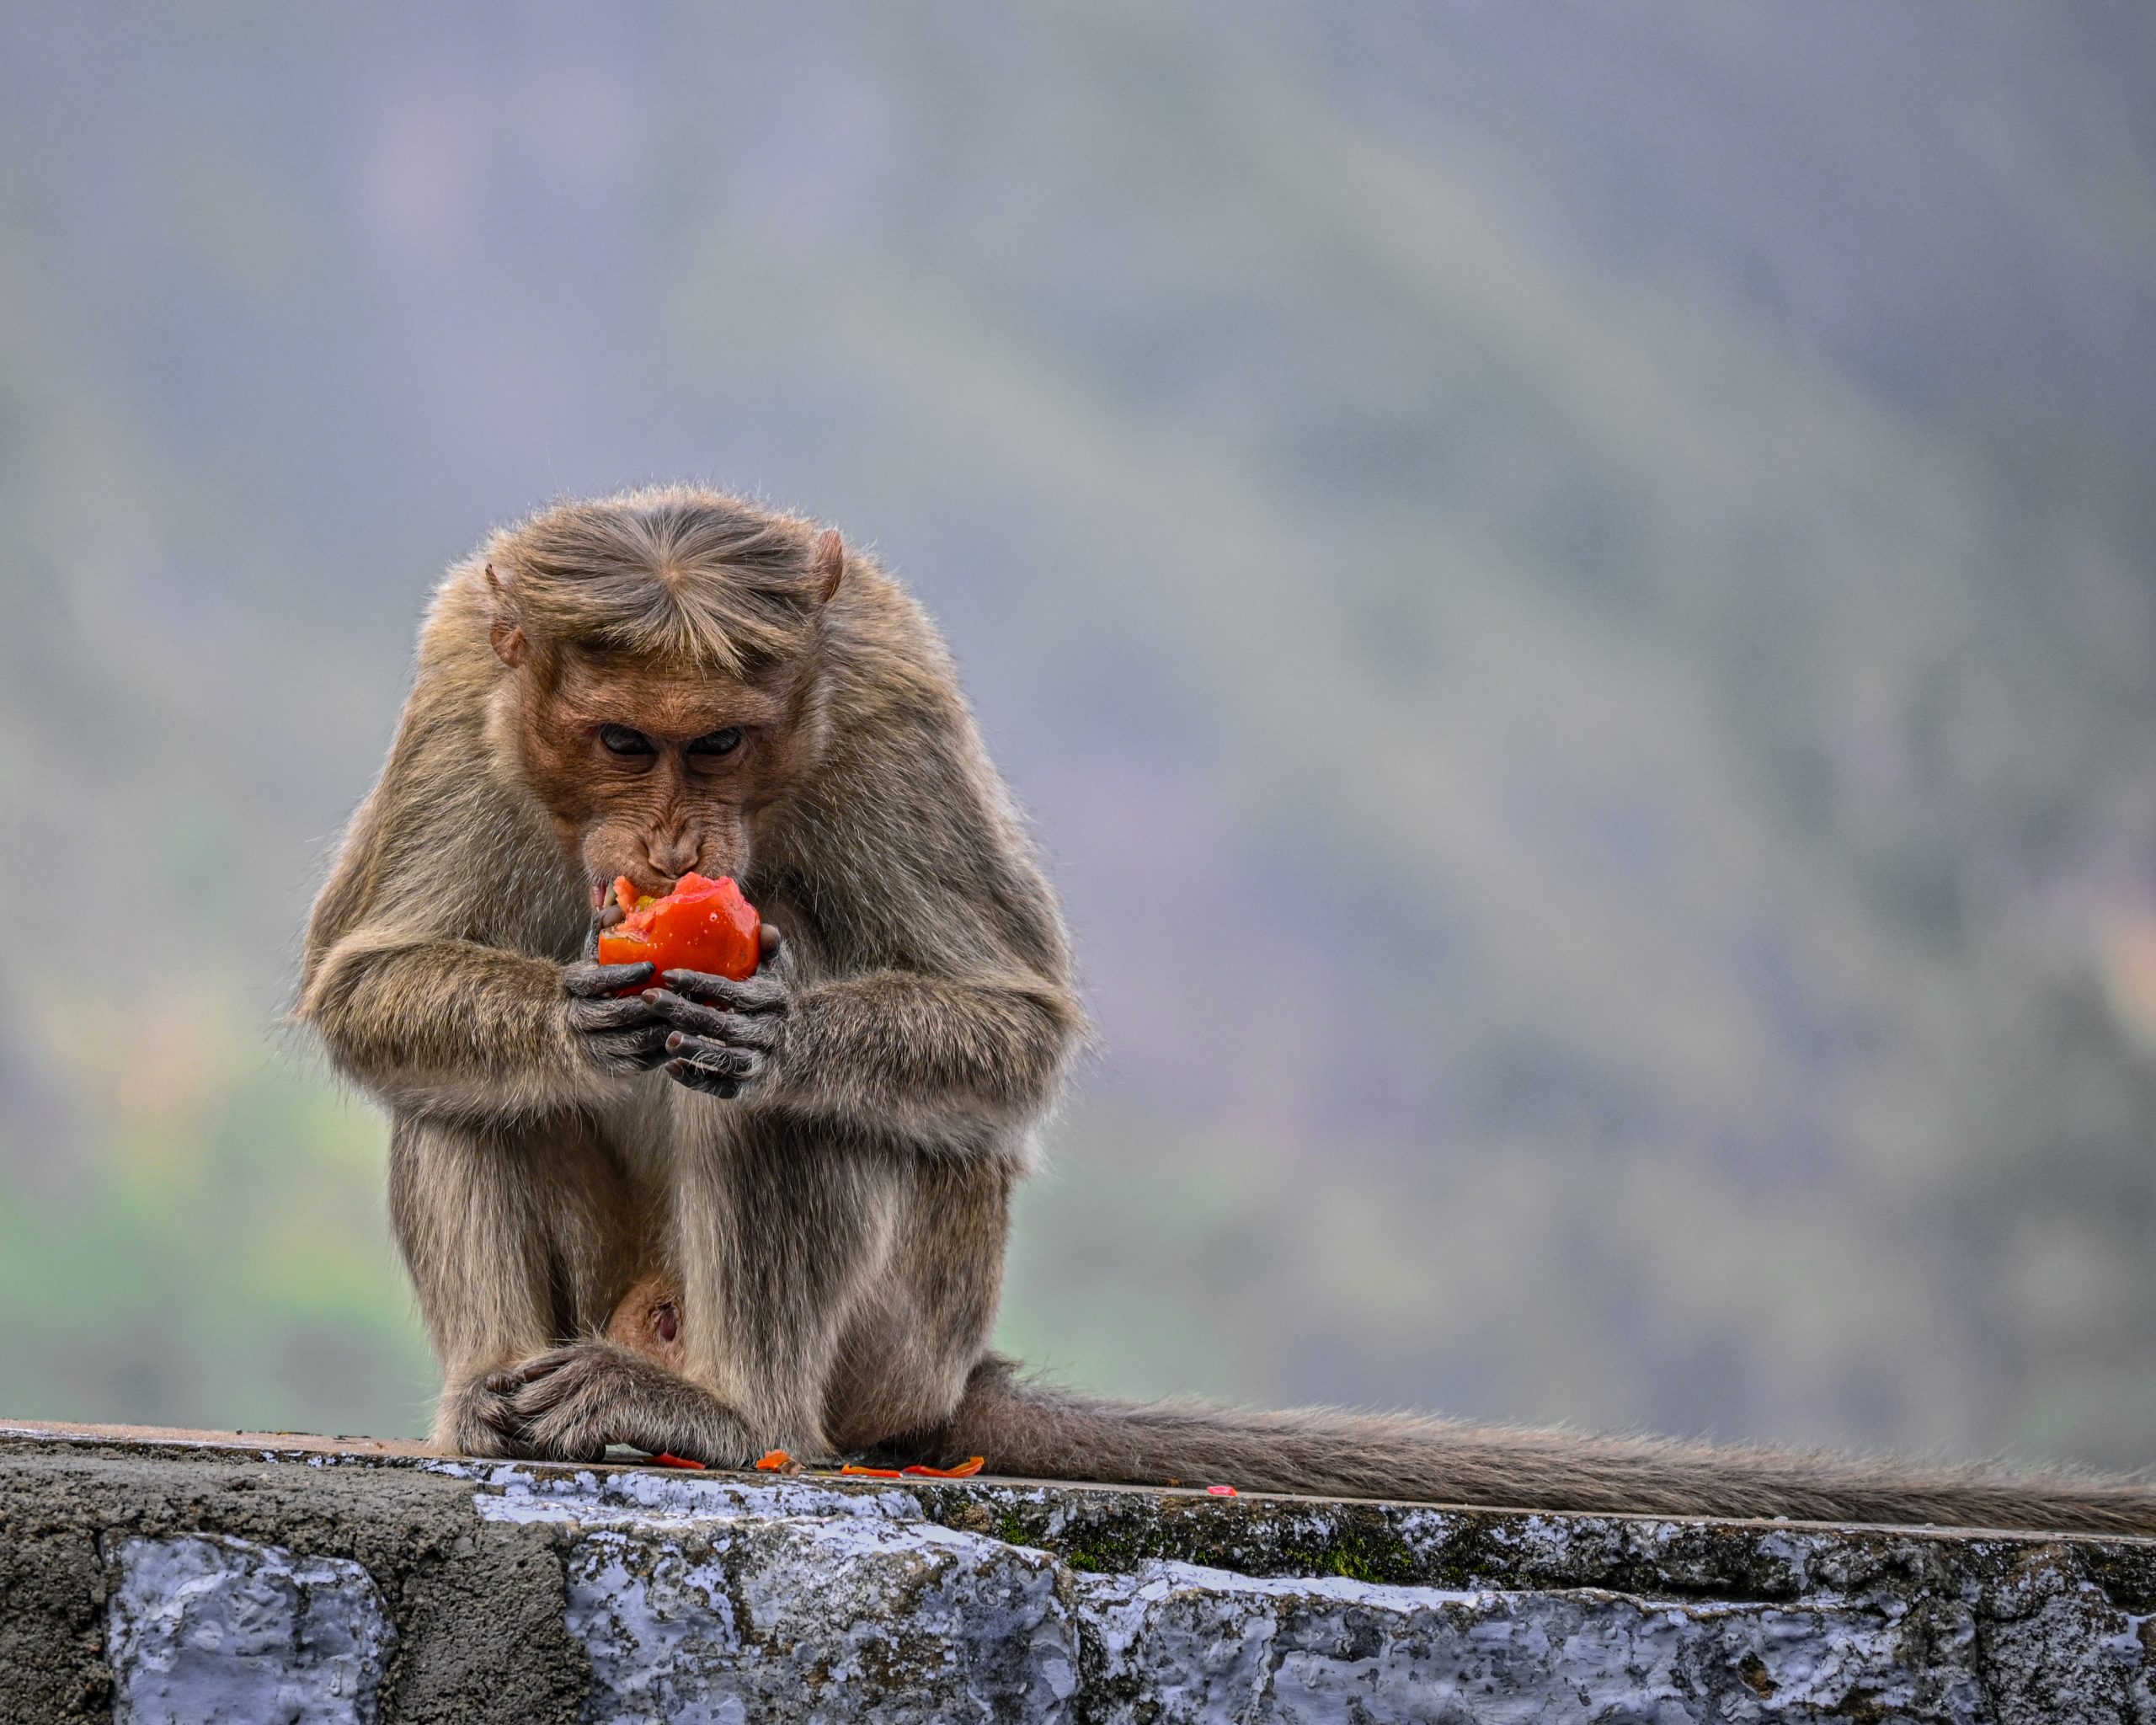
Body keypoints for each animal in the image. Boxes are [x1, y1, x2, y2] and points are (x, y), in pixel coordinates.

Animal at [303, 485, 2156, 1535]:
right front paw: (579, 1016)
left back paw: (727, 1412)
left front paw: (778, 1023)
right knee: (456, 1087)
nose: (678, 847)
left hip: (895, 1337)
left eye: (721, 745)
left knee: (782, 1130)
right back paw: (492, 1400)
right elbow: (364, 978)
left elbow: (1009, 1016)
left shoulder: (886, 700)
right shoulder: (458, 685)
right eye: (628, 741)